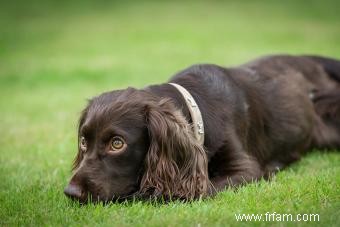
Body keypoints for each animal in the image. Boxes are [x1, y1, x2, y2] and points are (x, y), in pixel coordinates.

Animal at [63, 54, 340, 202]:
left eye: (117, 143)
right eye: (84, 142)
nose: (71, 192)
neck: (197, 108)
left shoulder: (246, 169)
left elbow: (191, 191)